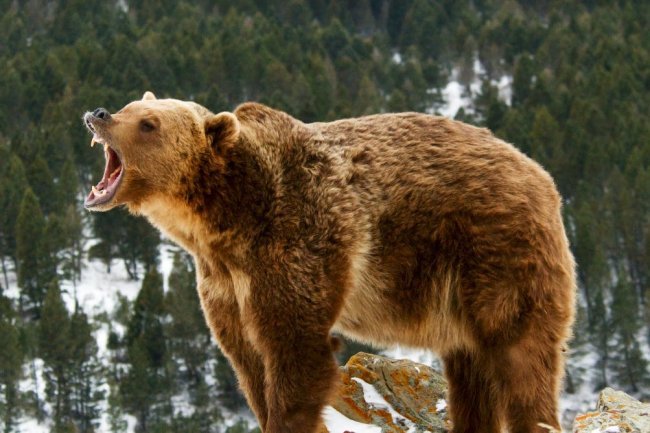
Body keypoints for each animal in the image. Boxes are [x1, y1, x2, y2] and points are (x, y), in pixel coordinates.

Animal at [83, 91, 576, 433]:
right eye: (131, 106)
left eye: (149, 123)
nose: (99, 114)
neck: (227, 222)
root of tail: (542, 176)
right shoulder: (224, 284)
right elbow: (249, 364)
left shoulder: (297, 243)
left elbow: (297, 353)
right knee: (471, 373)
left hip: (496, 254)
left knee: (521, 357)